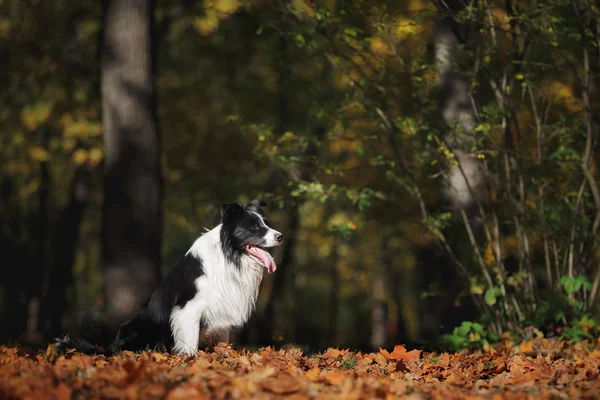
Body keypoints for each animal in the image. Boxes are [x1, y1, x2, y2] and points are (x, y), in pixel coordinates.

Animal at [54, 200, 282, 356]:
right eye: (254, 227)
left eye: (267, 223)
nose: (280, 236)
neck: (230, 255)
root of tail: (109, 348)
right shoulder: (188, 308)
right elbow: (189, 342)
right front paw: (190, 359)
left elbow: (222, 340)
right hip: (141, 327)